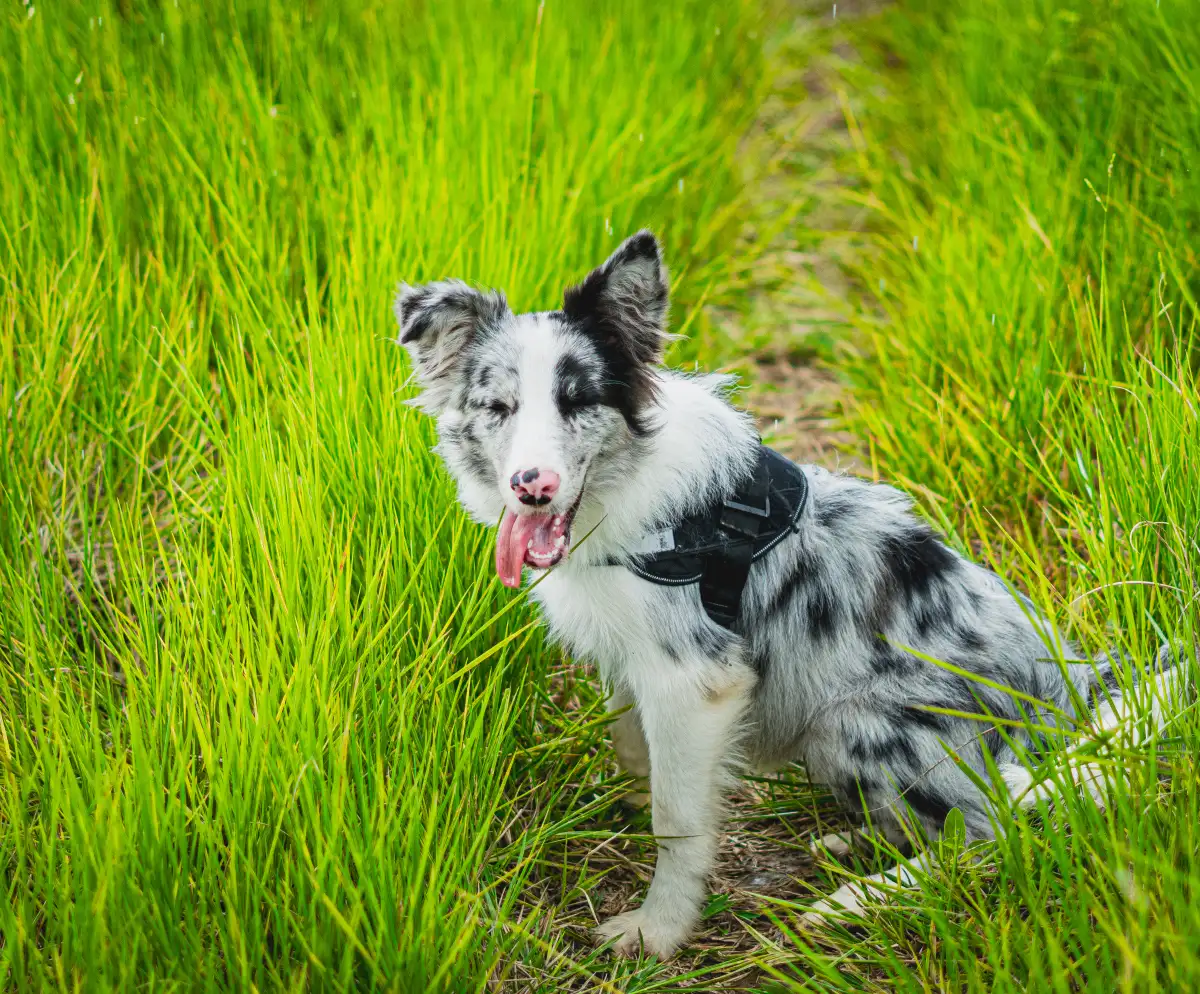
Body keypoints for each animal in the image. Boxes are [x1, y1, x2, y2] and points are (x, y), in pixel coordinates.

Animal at [391, 230, 1180, 955]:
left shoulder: (695, 677)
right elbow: (635, 749)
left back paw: (857, 902)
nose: (533, 487)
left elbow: (677, 819)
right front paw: (636, 799)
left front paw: (658, 930)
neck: (622, 494)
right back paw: (857, 844)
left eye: (577, 400)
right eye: (497, 407)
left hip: (855, 722)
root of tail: (1064, 683)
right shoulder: (633, 656)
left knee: (994, 824)